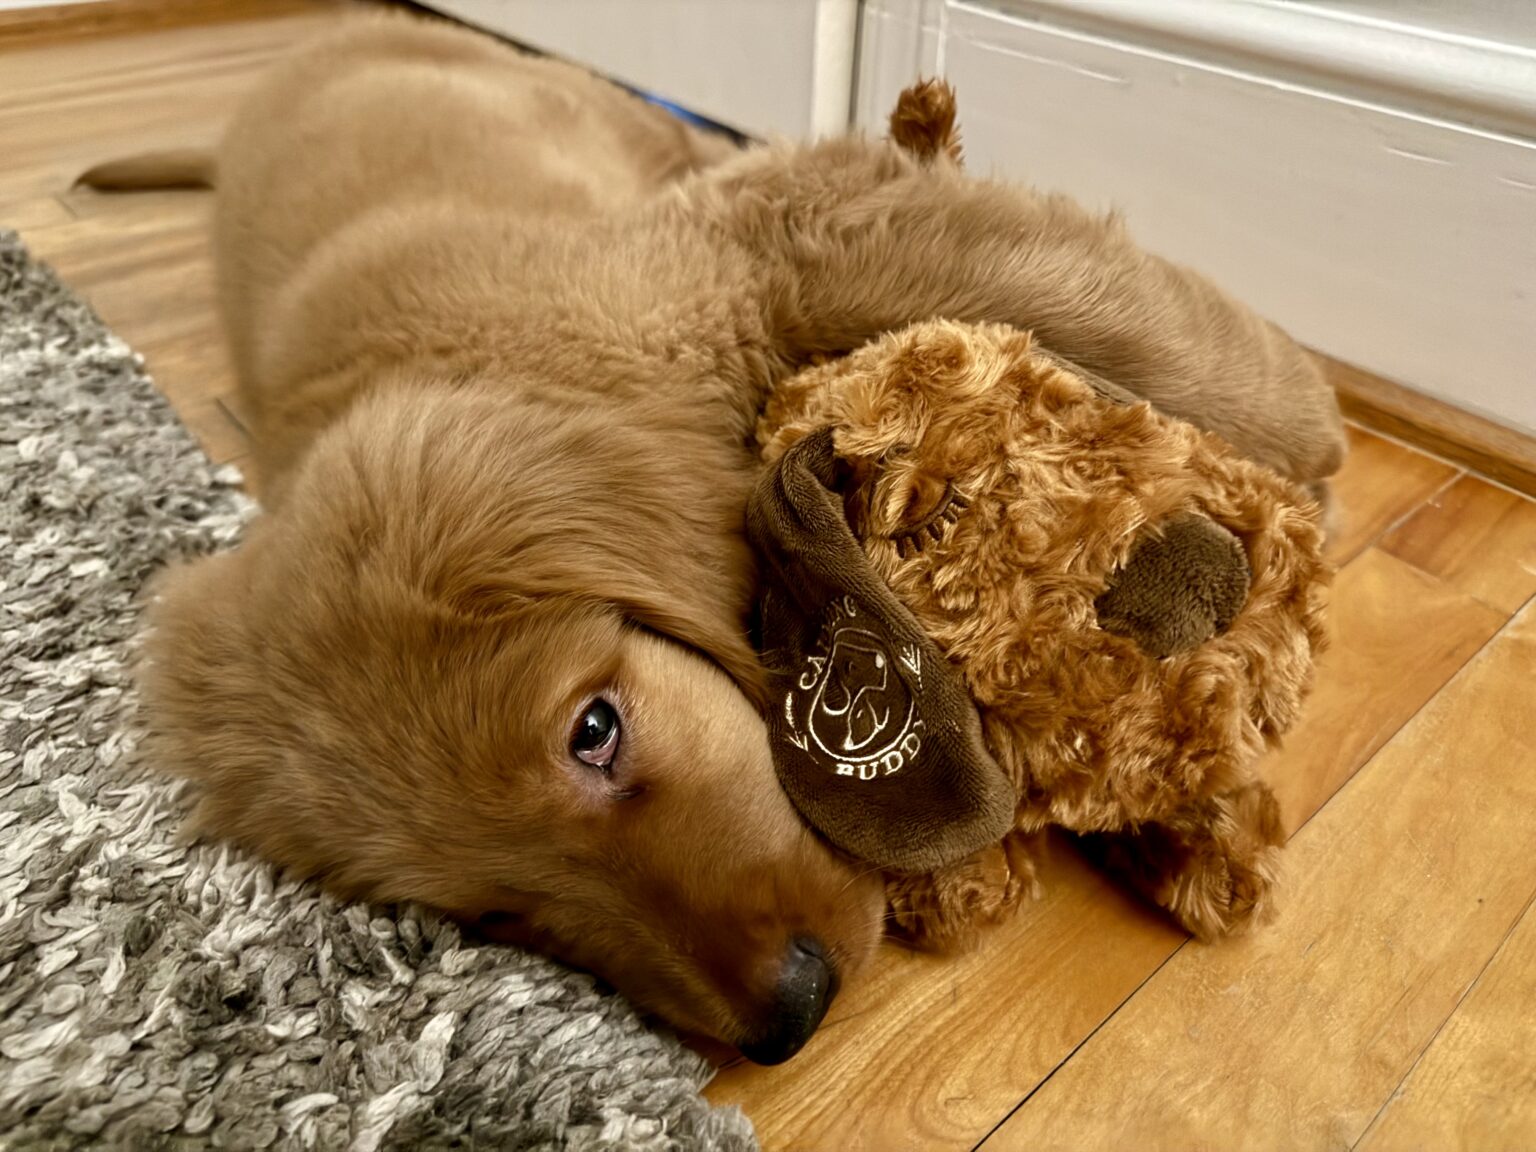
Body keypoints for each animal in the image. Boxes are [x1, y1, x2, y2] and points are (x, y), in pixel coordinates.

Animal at [85, 16, 1345, 1063]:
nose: (790, 1019)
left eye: (595, 731)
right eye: (491, 912)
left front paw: (1304, 433)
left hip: (610, 114)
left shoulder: (768, 241)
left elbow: (1051, 282)